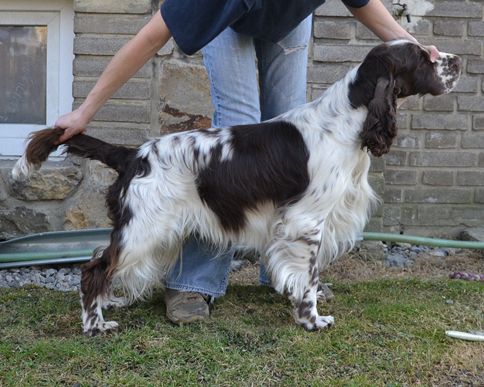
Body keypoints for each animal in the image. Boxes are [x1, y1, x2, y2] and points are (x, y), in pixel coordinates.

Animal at [9, 40, 460, 336]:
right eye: (422, 57)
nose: (457, 60)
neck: (347, 120)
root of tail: (134, 154)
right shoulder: (307, 221)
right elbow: (308, 277)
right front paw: (312, 319)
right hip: (144, 229)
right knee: (94, 269)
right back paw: (95, 326)